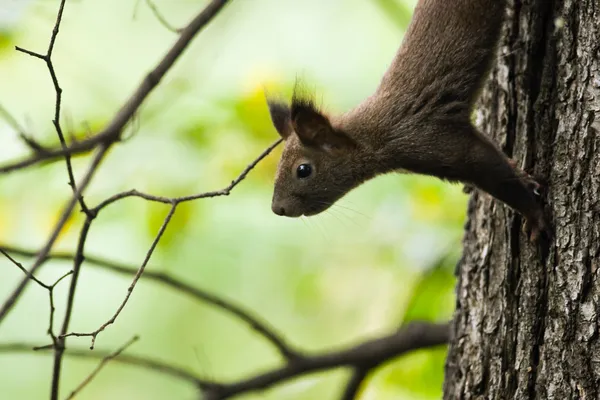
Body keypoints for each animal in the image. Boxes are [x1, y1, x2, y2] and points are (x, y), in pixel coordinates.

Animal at [268, 0, 548, 241]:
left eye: (303, 170)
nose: (278, 209)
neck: (372, 136)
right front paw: (522, 173)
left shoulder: (429, 140)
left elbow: (493, 171)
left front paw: (534, 216)